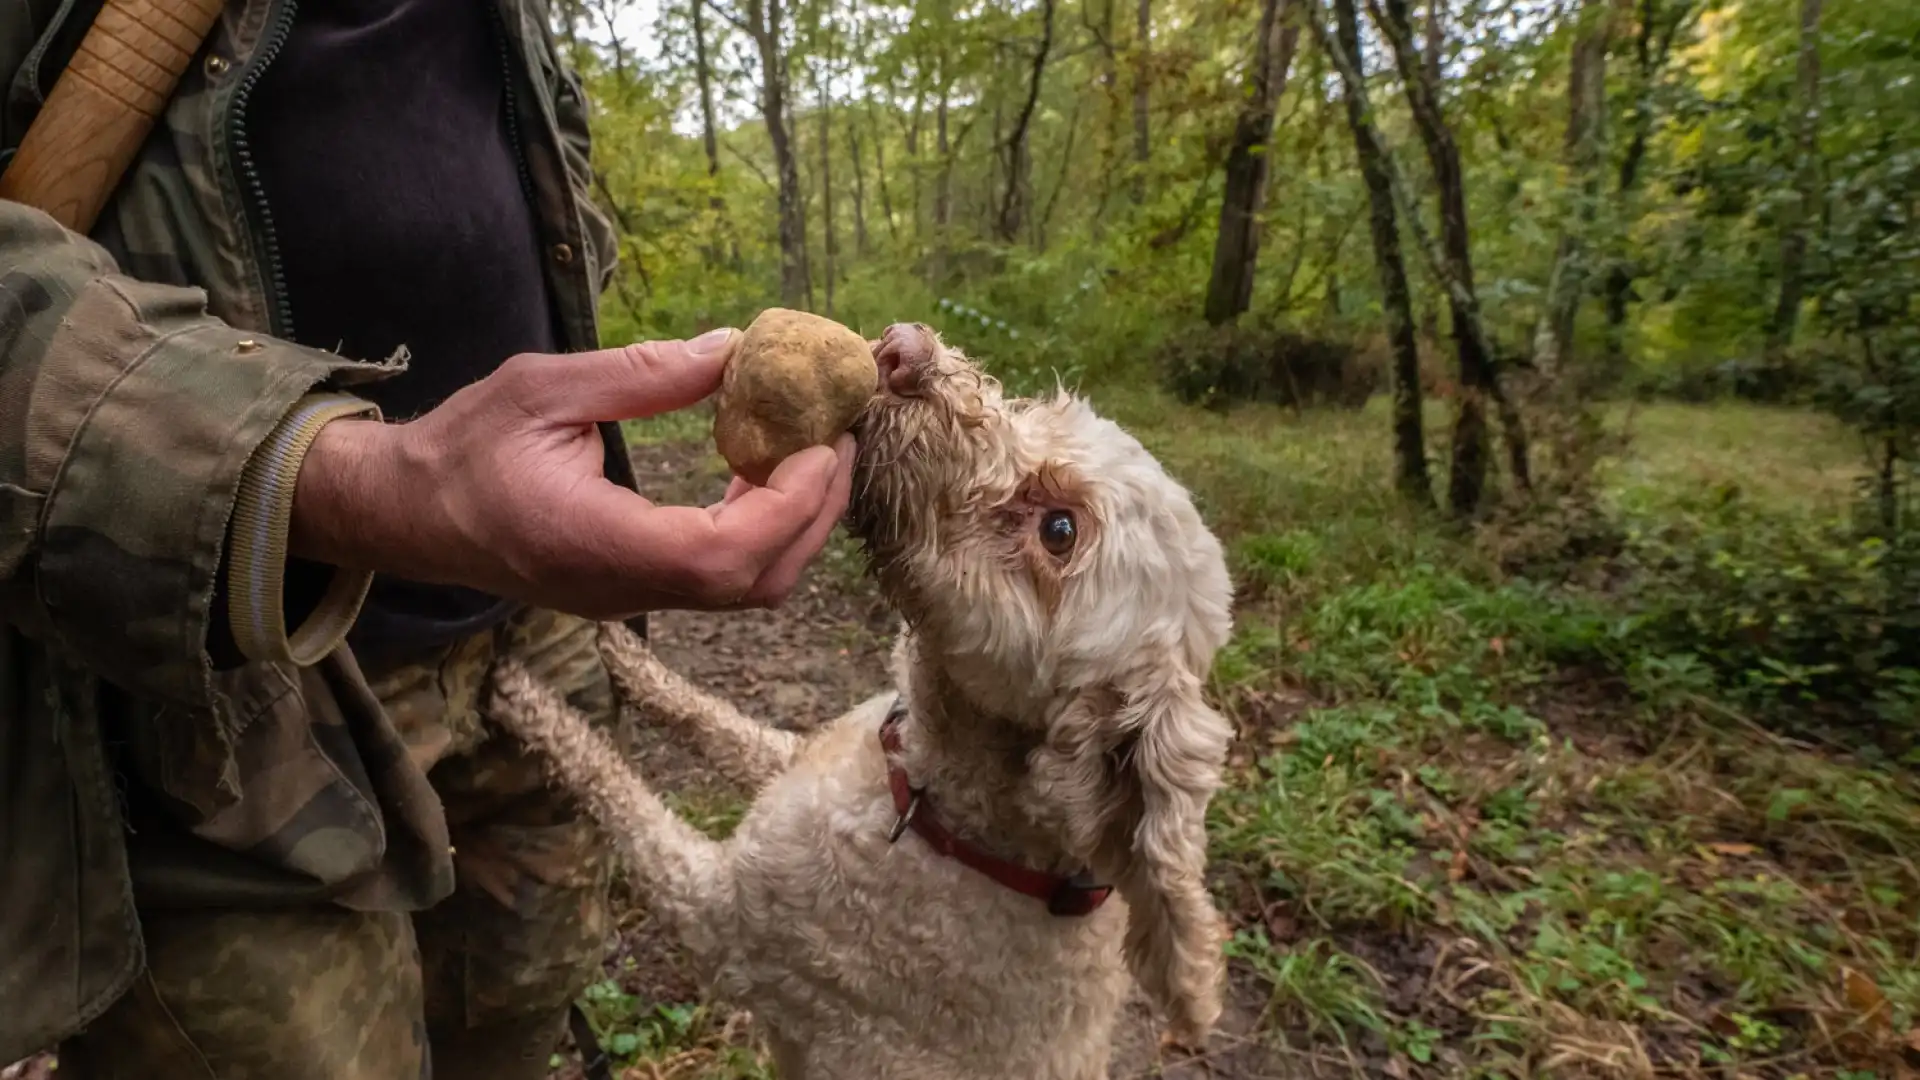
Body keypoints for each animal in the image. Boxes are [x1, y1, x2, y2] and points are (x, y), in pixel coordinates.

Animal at [495, 320, 1236, 1076]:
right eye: (1036, 409)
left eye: (1060, 530)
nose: (903, 349)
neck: (930, 805)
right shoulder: (796, 755)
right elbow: (710, 718)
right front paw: (623, 655)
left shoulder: (726, 920)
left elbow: (617, 795)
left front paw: (524, 698)